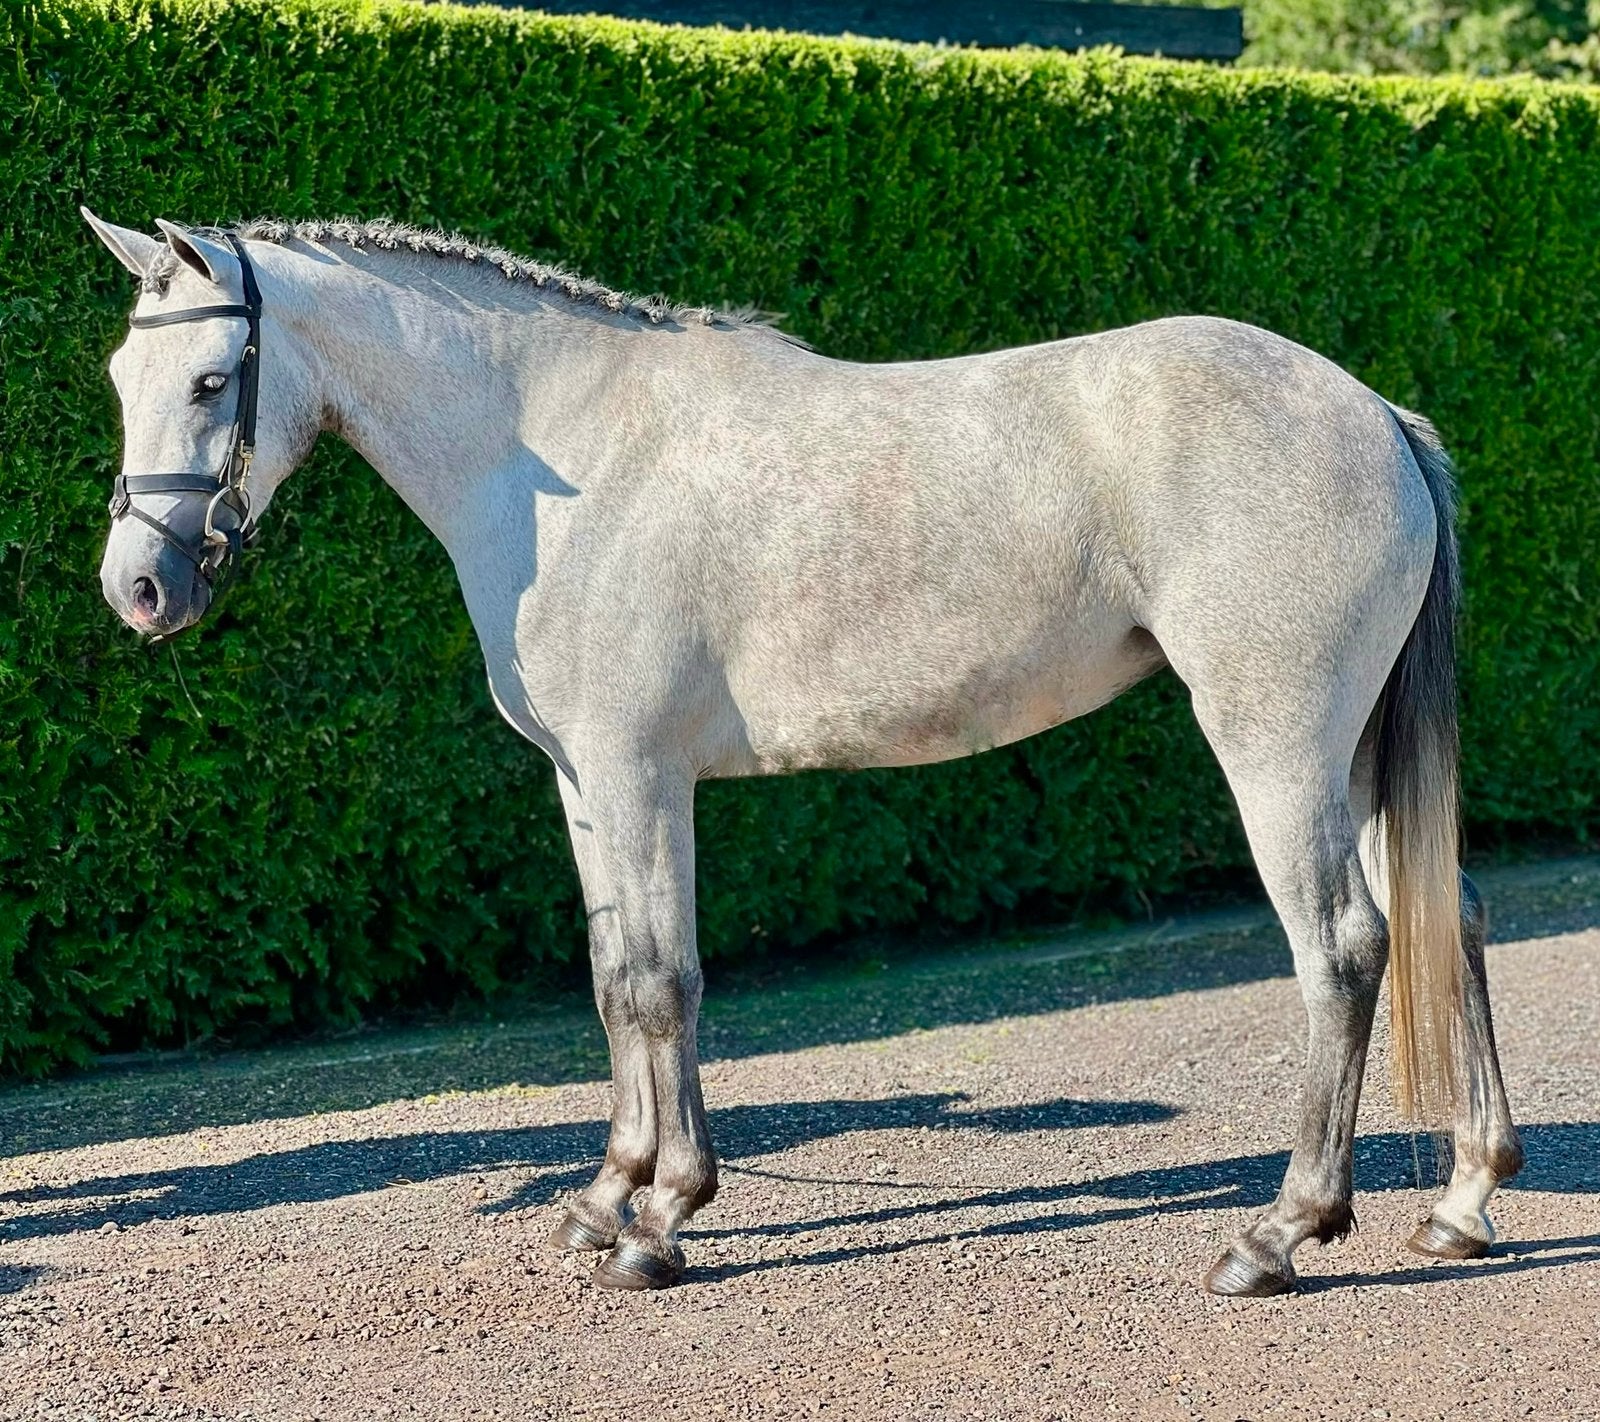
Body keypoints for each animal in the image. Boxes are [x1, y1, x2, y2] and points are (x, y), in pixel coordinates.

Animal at [82, 210, 1522, 1295]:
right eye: (117, 381)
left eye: (208, 381)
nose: (137, 590)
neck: (563, 451)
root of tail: (1375, 414)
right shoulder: (584, 785)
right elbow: (613, 981)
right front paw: (605, 1198)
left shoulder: (638, 774)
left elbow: (663, 981)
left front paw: (664, 1221)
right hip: (1356, 754)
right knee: (1443, 911)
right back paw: (1460, 1204)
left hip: (1277, 744)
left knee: (1342, 946)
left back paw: (1280, 1233)